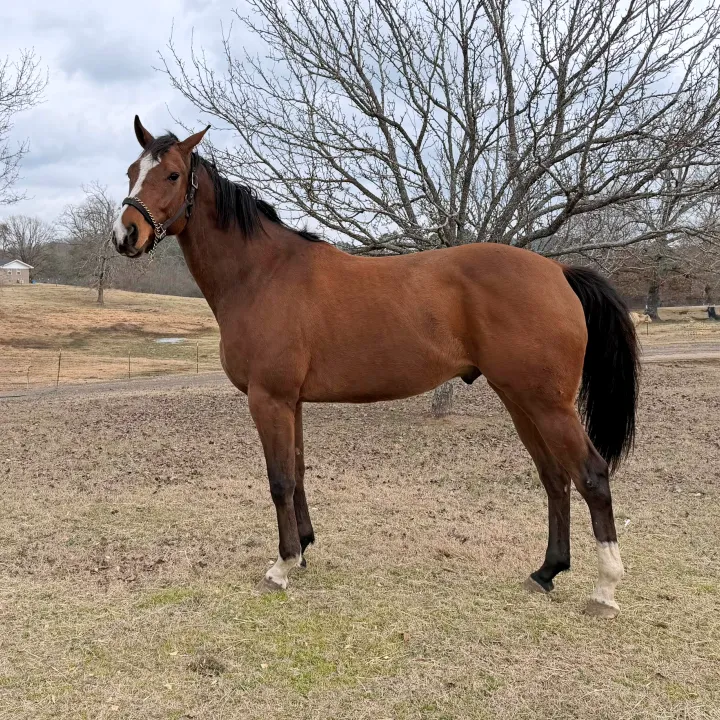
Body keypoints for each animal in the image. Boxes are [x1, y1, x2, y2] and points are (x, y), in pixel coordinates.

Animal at [112, 118, 640, 619]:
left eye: (172, 174)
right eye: (132, 171)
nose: (126, 236)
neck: (263, 274)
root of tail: (558, 272)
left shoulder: (269, 399)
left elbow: (279, 480)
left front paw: (281, 566)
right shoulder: (291, 402)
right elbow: (297, 472)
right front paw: (303, 548)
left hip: (548, 405)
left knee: (591, 476)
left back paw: (605, 590)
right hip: (519, 400)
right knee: (554, 478)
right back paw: (546, 571)